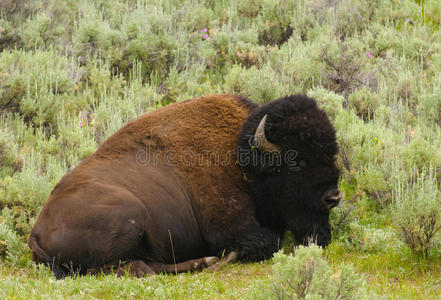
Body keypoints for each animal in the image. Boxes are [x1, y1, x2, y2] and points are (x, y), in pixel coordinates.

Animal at [27, 94, 340, 278]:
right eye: (296, 162)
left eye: (332, 152)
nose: (333, 197)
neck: (242, 160)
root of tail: (35, 231)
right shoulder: (228, 226)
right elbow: (265, 241)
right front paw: (228, 256)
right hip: (130, 213)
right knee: (133, 267)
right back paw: (204, 261)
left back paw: (202, 262)